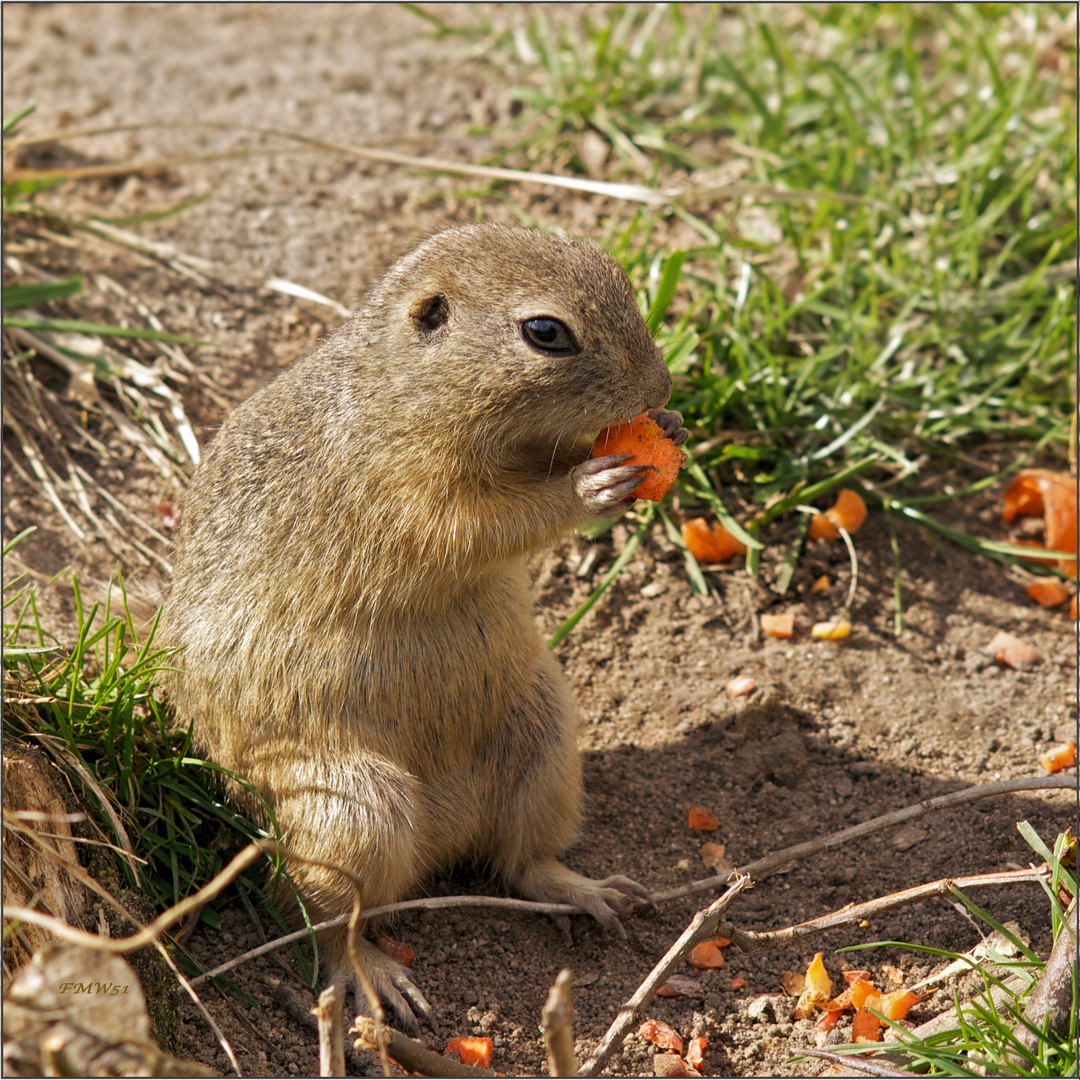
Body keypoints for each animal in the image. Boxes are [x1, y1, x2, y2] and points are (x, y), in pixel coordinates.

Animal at [159, 221, 686, 1028]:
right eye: (546, 333)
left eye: (615, 270)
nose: (661, 387)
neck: (405, 390)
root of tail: (443, 835)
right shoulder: (415, 496)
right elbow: (495, 522)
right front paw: (592, 484)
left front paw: (665, 429)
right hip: (352, 815)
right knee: (318, 918)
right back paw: (377, 981)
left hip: (546, 743)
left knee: (520, 863)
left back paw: (591, 892)